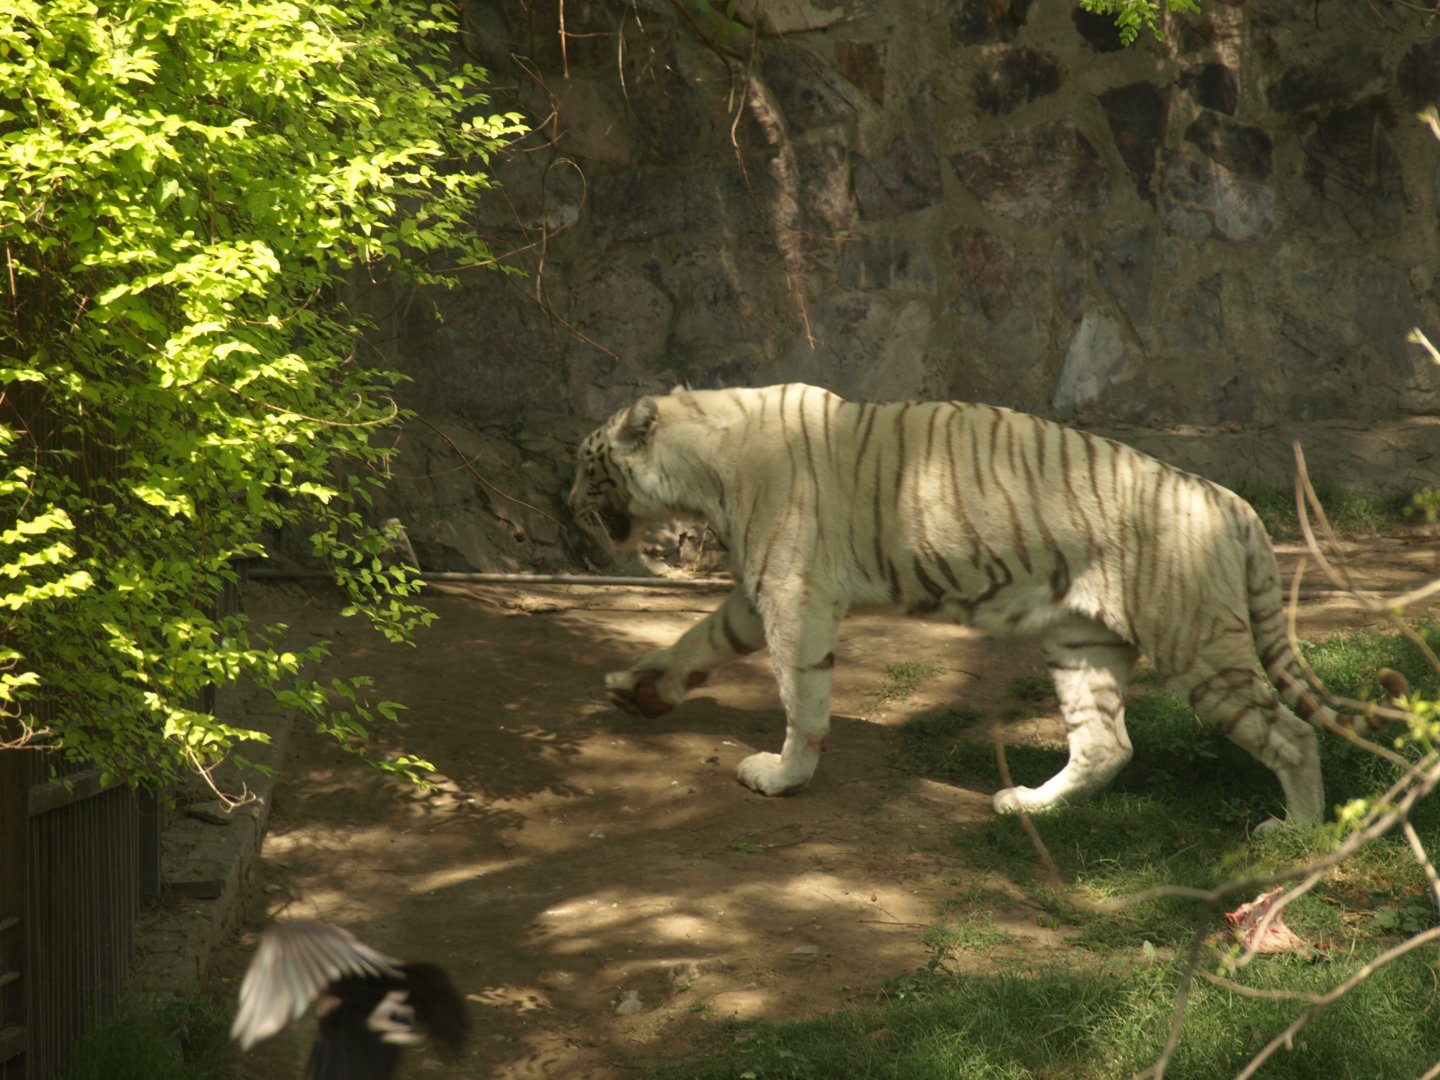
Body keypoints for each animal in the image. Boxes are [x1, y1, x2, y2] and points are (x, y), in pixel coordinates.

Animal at [567, 381, 1348, 827]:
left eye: (585, 464)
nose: (568, 502)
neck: (705, 458)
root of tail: (1230, 500)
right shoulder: (761, 589)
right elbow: (699, 638)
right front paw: (637, 688)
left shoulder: (793, 594)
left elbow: (802, 701)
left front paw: (782, 777)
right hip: (1082, 643)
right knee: (1107, 744)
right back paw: (1026, 805)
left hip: (1198, 646)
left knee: (1291, 734)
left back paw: (1298, 833)